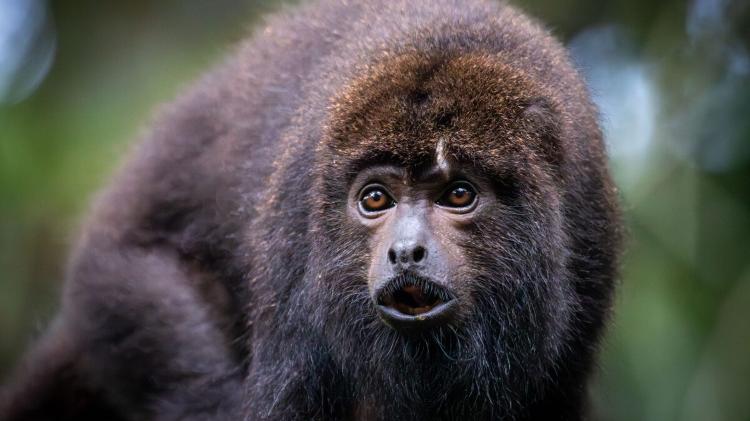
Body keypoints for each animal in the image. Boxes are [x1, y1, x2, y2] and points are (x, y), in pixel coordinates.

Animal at [0, 0, 624, 420]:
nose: (406, 251)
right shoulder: (296, 226)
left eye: (459, 195)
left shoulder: (589, 226)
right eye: (375, 199)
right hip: (122, 283)